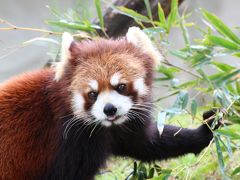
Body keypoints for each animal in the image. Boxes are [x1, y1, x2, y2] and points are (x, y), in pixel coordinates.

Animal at [0, 27, 220, 180]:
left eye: (121, 86)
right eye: (92, 94)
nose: (109, 109)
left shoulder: (121, 129)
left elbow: (147, 144)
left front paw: (206, 129)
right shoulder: (68, 142)